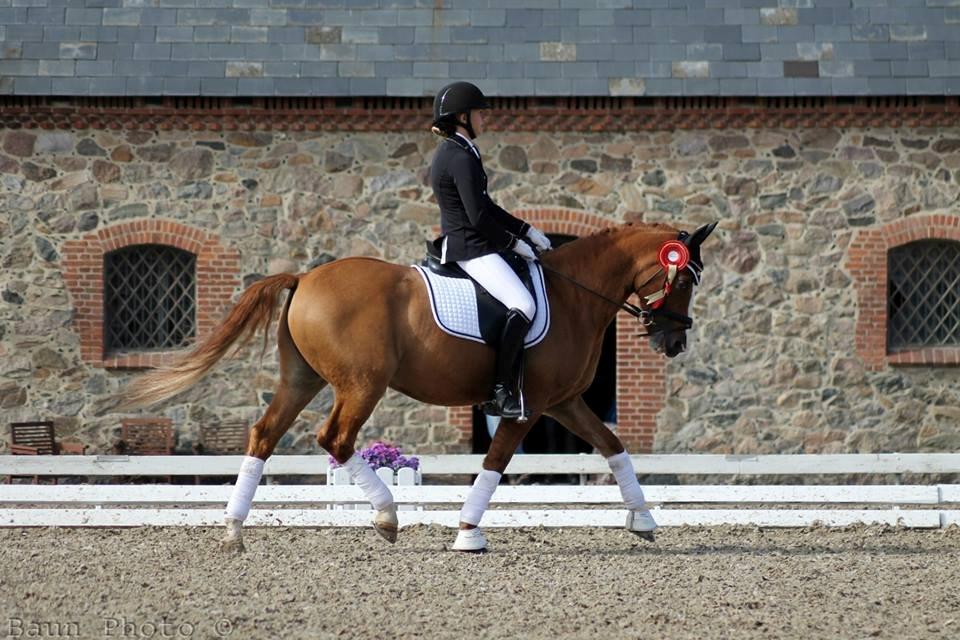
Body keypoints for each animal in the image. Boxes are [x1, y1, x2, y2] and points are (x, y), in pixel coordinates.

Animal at [121, 220, 717, 552]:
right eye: (683, 278)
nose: (673, 342)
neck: (574, 295)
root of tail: (305, 276)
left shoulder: (564, 403)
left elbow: (614, 448)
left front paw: (644, 519)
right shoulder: (524, 409)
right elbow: (494, 465)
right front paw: (468, 532)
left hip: (302, 379)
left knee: (265, 435)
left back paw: (233, 528)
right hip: (362, 384)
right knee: (335, 439)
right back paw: (386, 516)